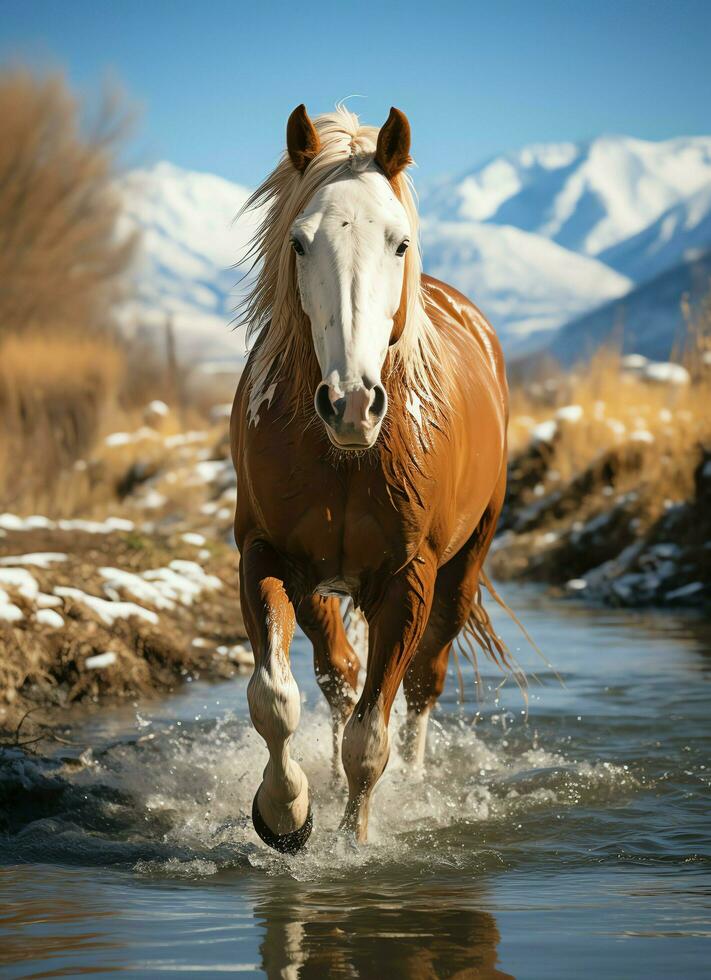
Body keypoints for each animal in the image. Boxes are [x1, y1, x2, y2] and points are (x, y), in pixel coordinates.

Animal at [231, 101, 508, 848]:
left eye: (399, 243)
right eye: (300, 243)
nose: (352, 402)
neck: (349, 456)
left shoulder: (408, 579)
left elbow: (371, 739)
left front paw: (354, 844)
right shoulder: (265, 556)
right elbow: (275, 699)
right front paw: (286, 814)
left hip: (463, 567)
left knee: (422, 682)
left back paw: (414, 784)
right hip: (321, 586)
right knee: (338, 677)